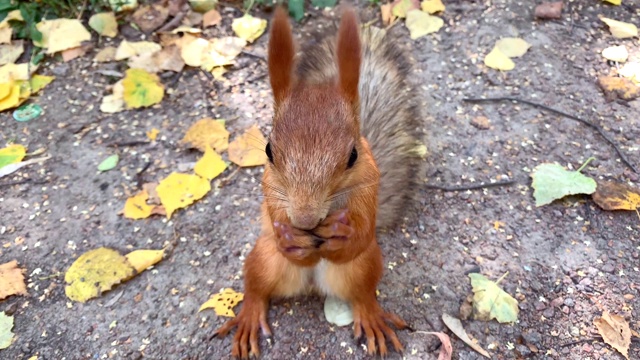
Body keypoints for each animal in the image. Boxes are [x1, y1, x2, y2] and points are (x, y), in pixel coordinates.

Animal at [215, 7, 424, 358]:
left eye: (353, 155)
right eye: (269, 150)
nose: (304, 220)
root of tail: (313, 284)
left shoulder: (370, 185)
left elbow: (361, 233)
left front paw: (342, 232)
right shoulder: (271, 188)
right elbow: (278, 227)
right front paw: (289, 237)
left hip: (364, 265)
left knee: (362, 293)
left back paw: (371, 316)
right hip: (264, 257)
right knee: (256, 287)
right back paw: (249, 316)